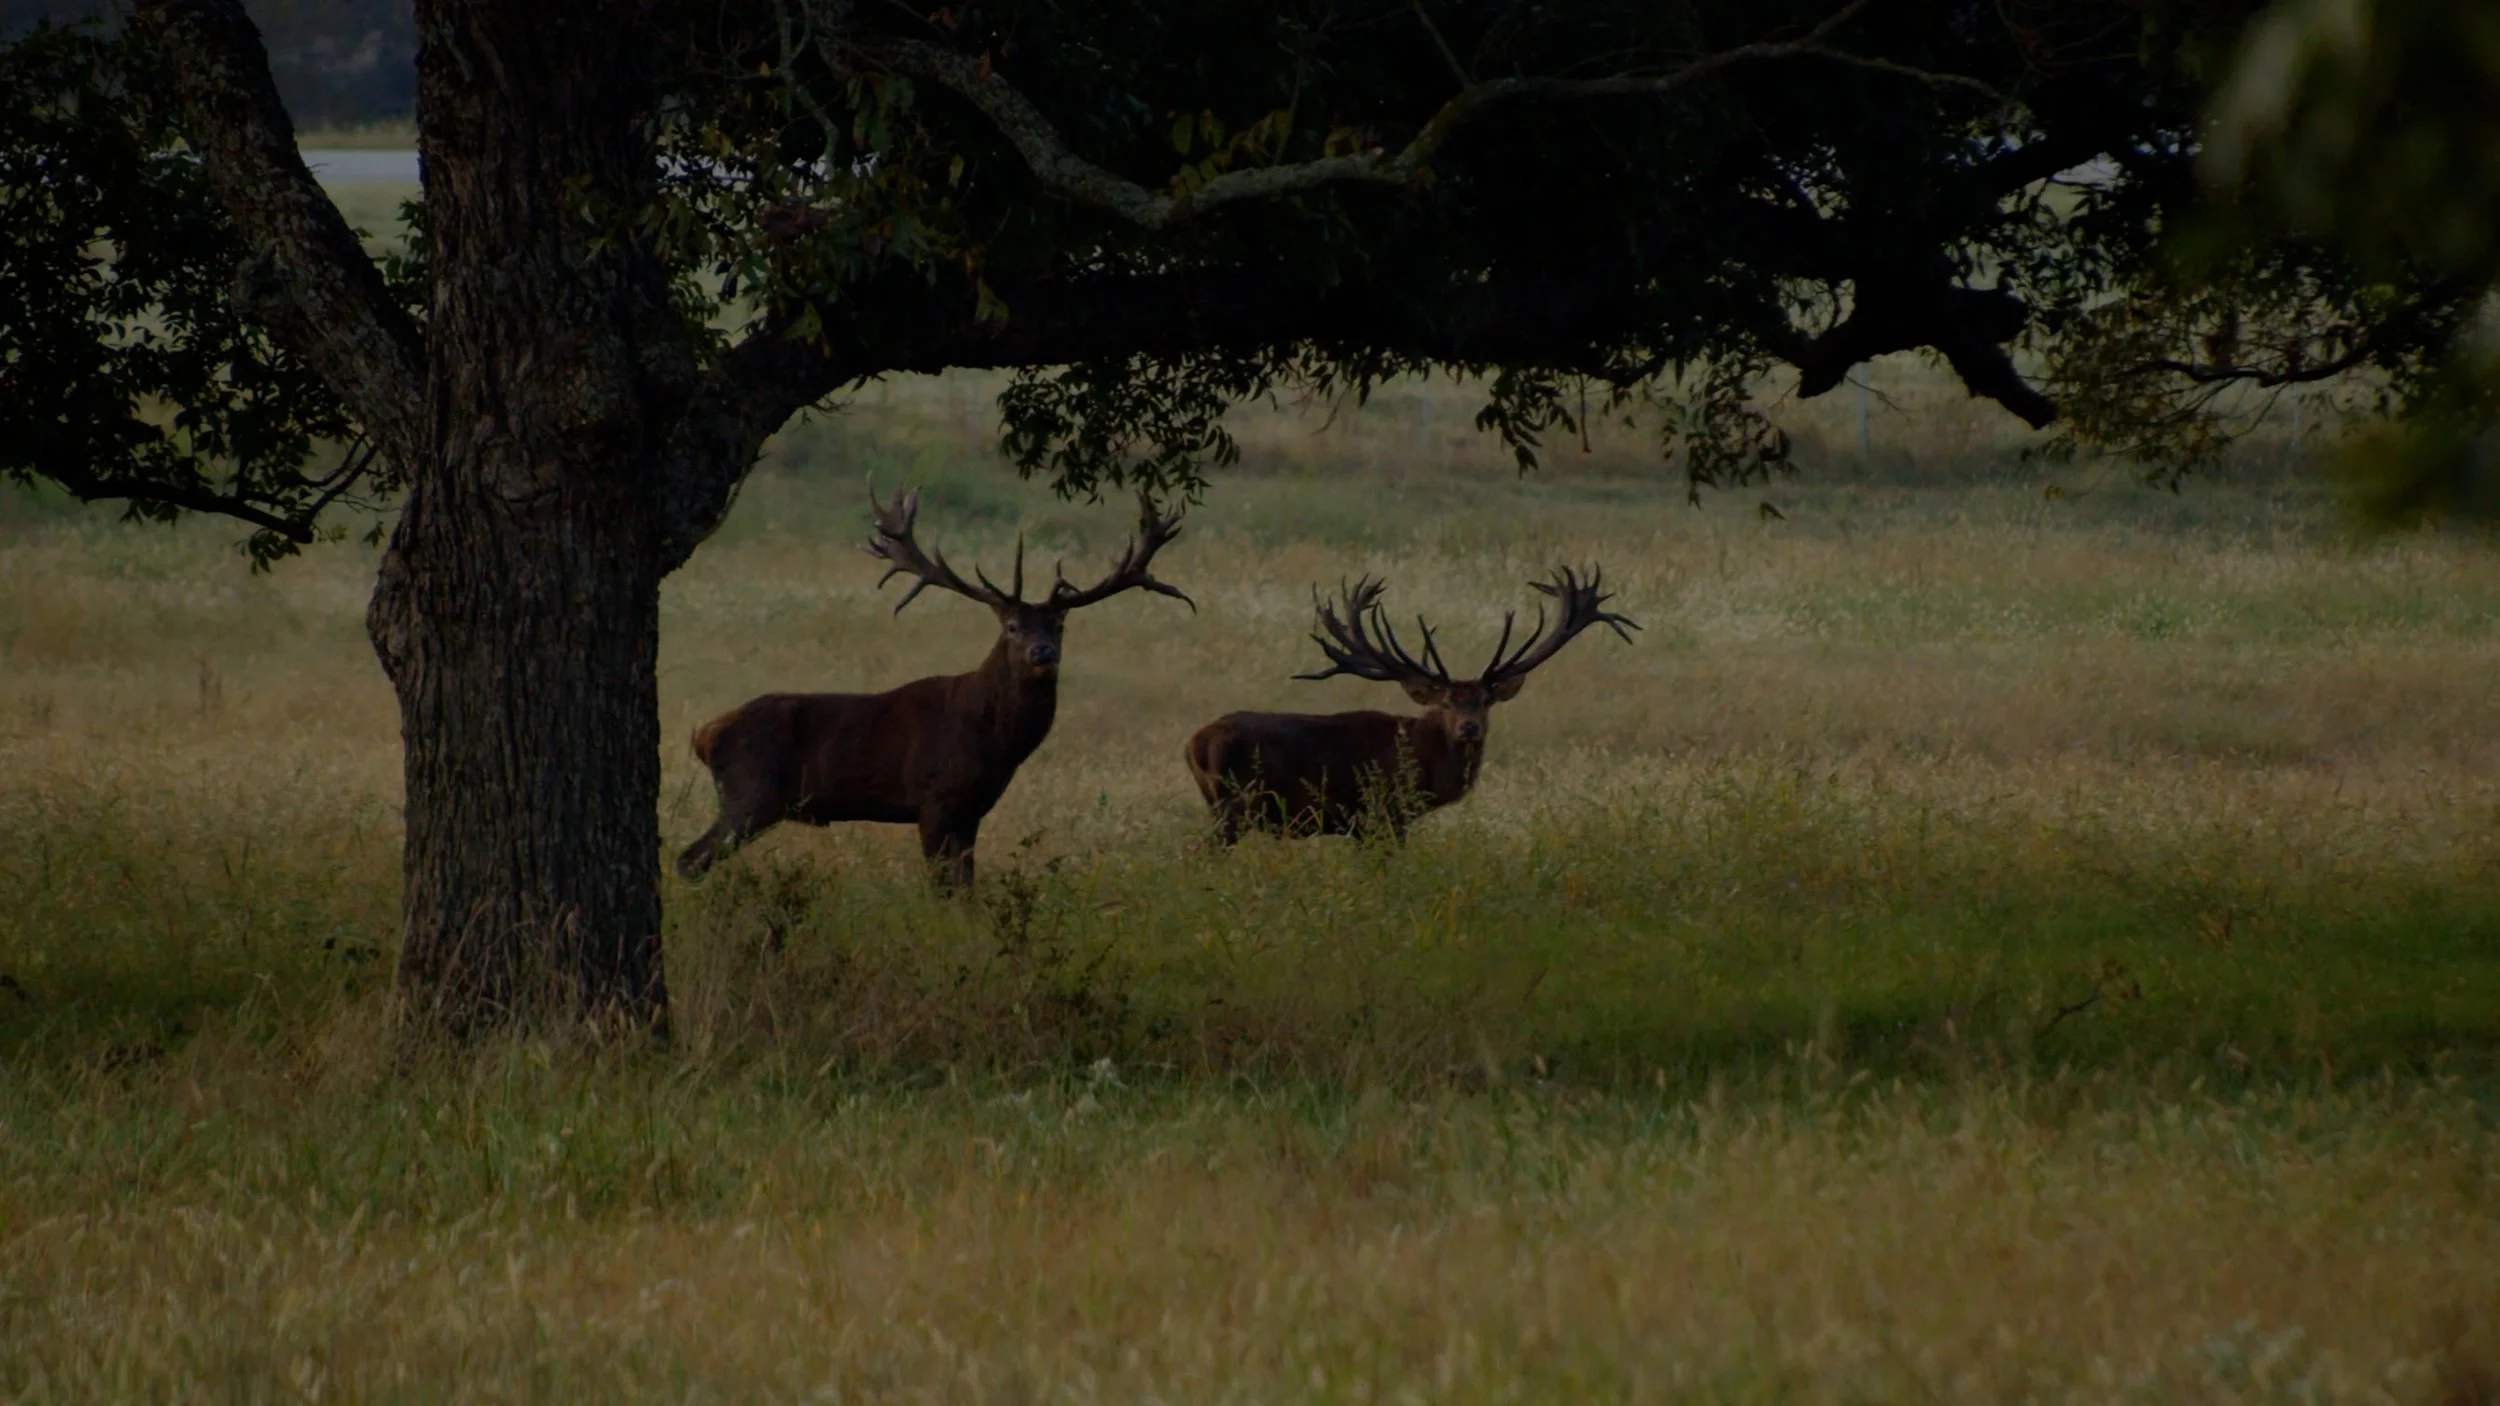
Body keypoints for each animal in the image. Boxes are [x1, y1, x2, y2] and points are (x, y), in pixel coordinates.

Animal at [676, 483, 1192, 889]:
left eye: (1060, 625)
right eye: (1012, 627)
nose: (1043, 654)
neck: (993, 743)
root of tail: (704, 733)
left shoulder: (971, 811)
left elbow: (967, 891)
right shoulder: (933, 800)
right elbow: (942, 890)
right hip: (749, 793)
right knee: (689, 858)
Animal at [1185, 568, 1636, 842]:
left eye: (1485, 701)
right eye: (1447, 702)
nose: (1469, 728)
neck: (1424, 763)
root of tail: (1194, 744)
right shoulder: (1382, 813)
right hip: (1232, 805)